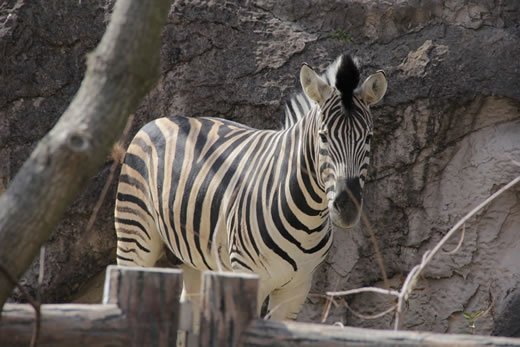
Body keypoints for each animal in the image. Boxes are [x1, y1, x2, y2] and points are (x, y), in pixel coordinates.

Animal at [114, 53, 388, 324]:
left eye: (369, 137)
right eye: (323, 137)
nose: (348, 208)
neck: (307, 215)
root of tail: (163, 119)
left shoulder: (296, 290)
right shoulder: (247, 275)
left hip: (197, 260)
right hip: (134, 237)